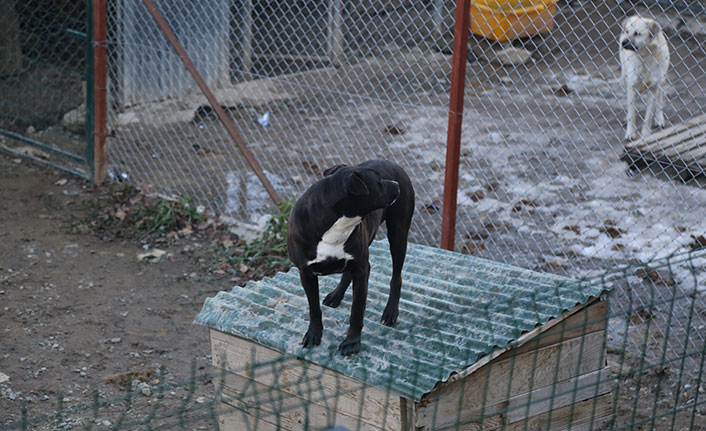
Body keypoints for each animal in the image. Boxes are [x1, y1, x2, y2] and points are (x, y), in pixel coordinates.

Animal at [284, 160, 412, 356]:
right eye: (379, 182)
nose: (397, 185)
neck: (336, 223)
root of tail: (392, 163)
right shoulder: (306, 273)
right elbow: (314, 308)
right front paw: (313, 334)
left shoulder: (361, 269)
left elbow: (357, 310)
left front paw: (352, 342)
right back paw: (336, 295)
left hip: (398, 235)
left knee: (396, 276)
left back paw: (390, 311)